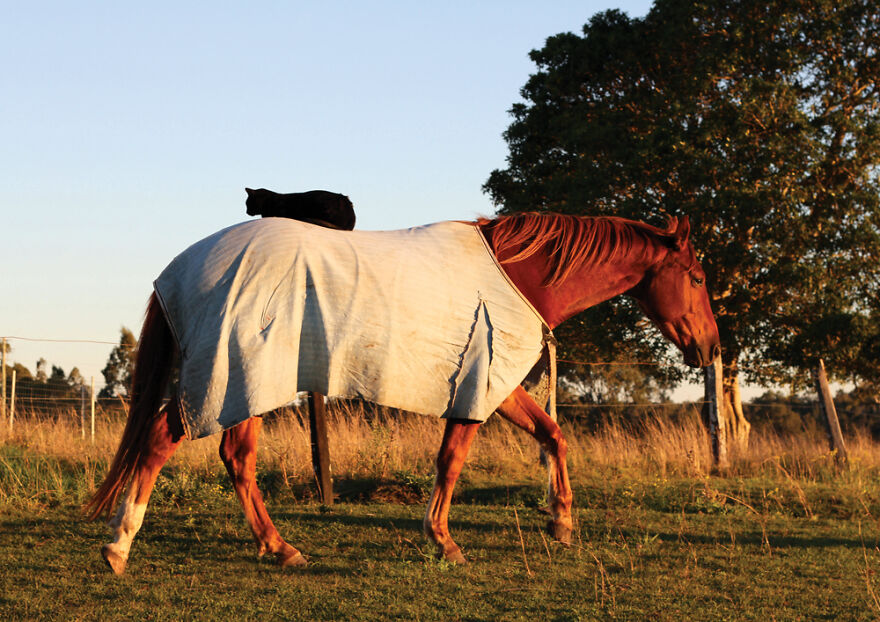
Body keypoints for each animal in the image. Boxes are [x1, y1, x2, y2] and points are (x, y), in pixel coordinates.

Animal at [86, 212, 720, 573]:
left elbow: (553, 435)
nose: (710, 348)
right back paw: (120, 545)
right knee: (165, 441)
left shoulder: (497, 387)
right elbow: (451, 462)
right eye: (696, 277)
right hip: (234, 379)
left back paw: (277, 547)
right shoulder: (477, 385)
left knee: (234, 459)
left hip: (249, 384)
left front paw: (560, 523)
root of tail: (180, 269)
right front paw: (443, 541)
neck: (519, 276)